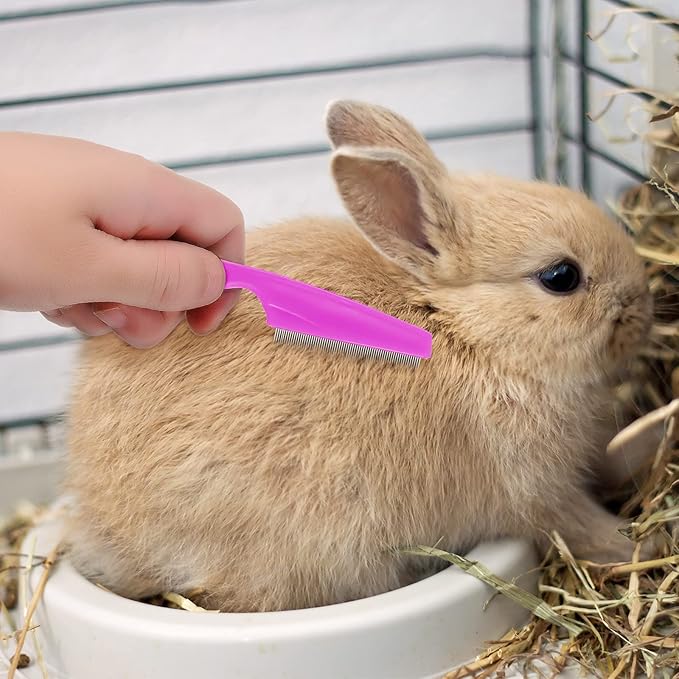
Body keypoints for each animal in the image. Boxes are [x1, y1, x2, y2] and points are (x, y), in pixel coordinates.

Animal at [64, 100, 654, 612]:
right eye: (561, 276)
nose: (642, 304)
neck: (463, 328)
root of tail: (104, 526)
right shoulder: (536, 490)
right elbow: (578, 524)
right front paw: (634, 546)